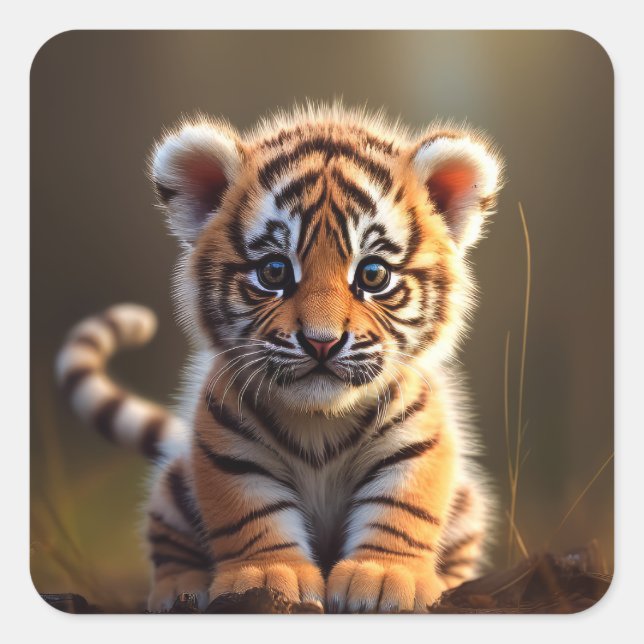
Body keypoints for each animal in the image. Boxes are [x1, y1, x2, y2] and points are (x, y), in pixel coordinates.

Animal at [56, 103, 503, 613]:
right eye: (273, 271)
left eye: (373, 275)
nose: (322, 342)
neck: (321, 420)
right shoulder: (228, 447)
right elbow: (251, 516)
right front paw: (269, 578)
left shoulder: (418, 440)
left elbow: (403, 508)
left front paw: (386, 578)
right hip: (172, 487)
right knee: (169, 545)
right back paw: (179, 589)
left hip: (468, 501)